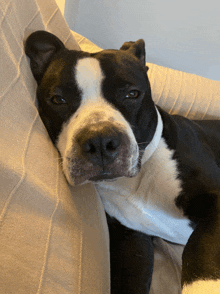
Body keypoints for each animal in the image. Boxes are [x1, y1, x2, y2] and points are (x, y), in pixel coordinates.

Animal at [24, 30, 220, 294]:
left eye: (132, 94)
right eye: (58, 99)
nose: (99, 140)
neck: (137, 178)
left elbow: (200, 252)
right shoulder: (130, 243)